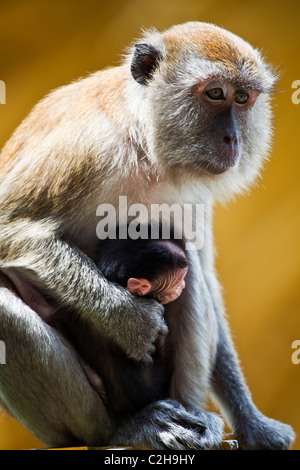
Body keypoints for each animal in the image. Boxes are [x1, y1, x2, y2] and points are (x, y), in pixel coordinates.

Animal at [0, 22, 296, 448]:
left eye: (242, 98)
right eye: (215, 93)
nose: (233, 139)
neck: (144, 143)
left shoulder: (193, 194)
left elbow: (203, 275)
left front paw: (251, 422)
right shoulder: (85, 148)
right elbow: (12, 231)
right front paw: (128, 320)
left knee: (187, 264)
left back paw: (191, 416)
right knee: (5, 312)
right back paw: (120, 429)